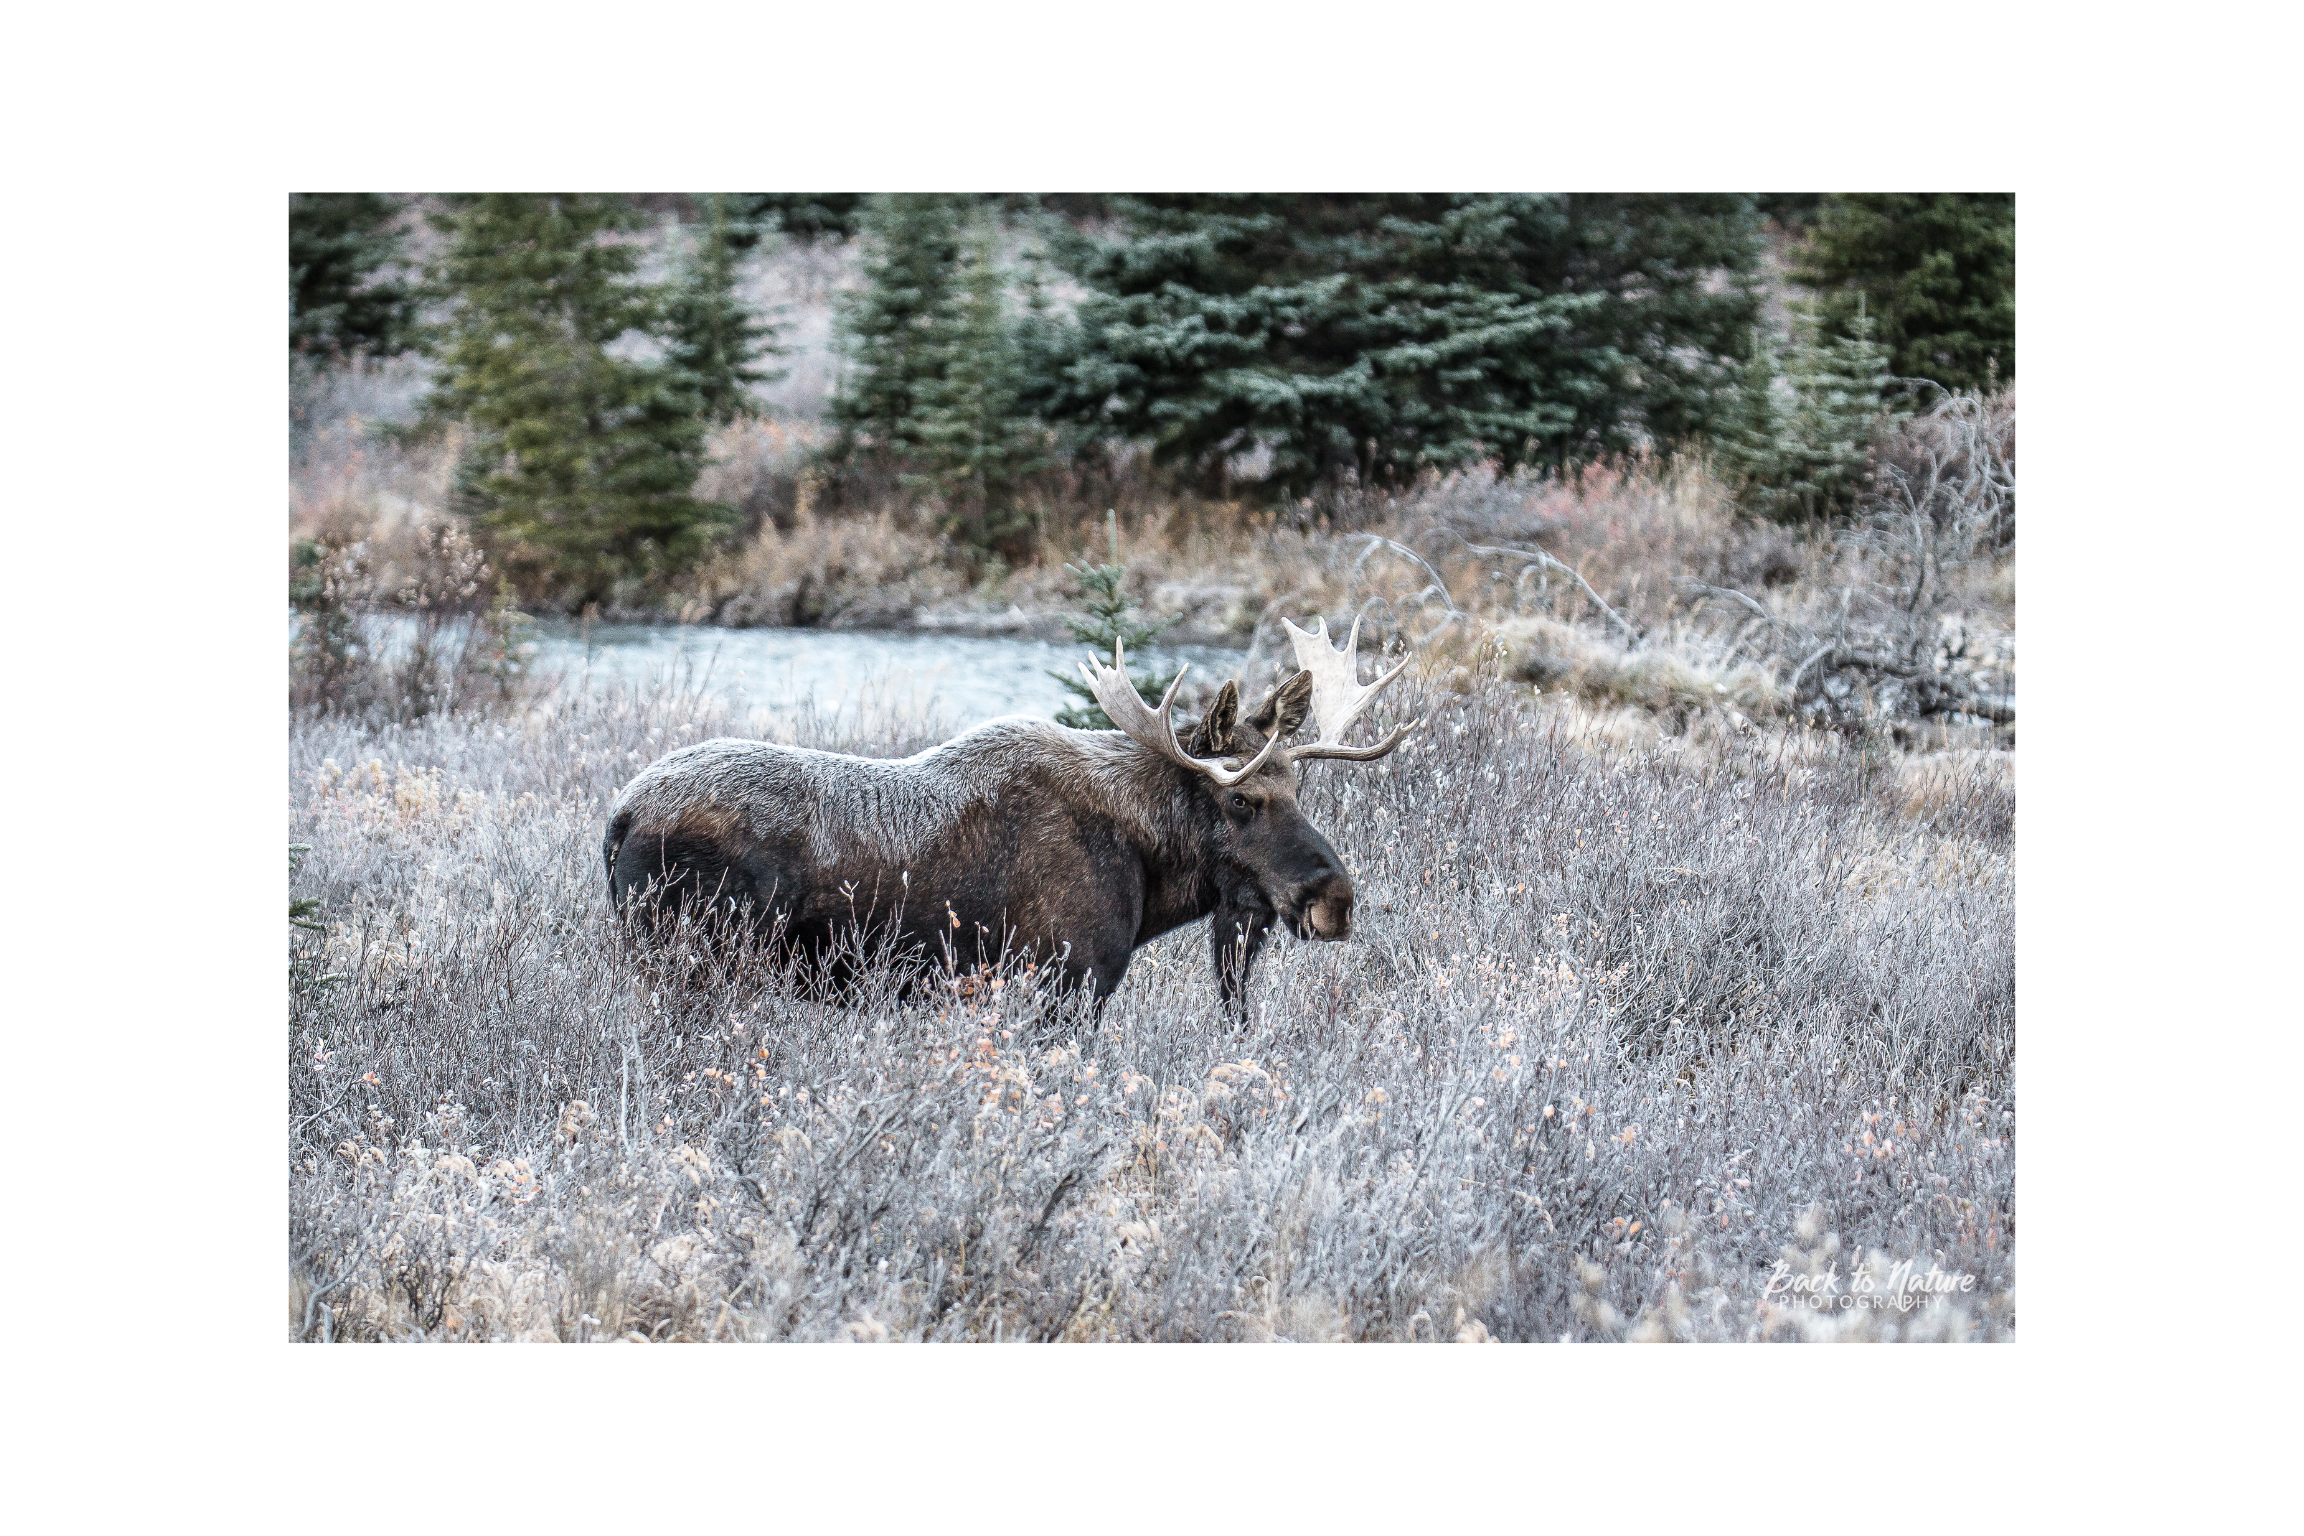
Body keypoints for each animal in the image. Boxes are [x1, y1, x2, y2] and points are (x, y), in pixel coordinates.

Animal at [603, 617, 1410, 1013]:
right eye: (1241, 798)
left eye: (1301, 791)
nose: (1335, 897)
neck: (1150, 869)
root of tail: (618, 817)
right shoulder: (1069, 980)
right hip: (693, 960)